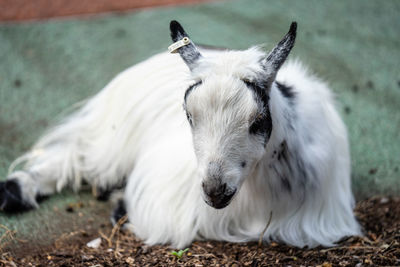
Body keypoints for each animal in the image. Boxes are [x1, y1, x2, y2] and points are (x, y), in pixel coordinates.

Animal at [0, 21, 360, 249]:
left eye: (258, 120)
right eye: (188, 115)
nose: (215, 191)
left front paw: (118, 203)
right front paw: (120, 205)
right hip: (113, 134)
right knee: (74, 156)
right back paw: (15, 190)